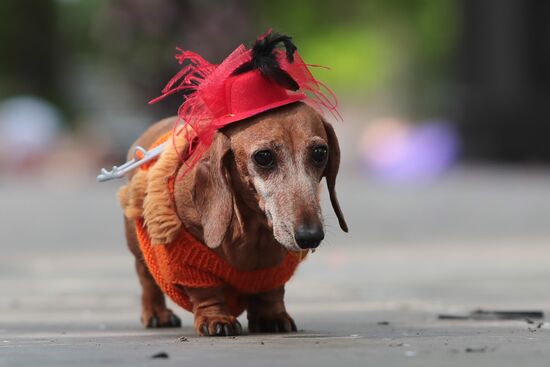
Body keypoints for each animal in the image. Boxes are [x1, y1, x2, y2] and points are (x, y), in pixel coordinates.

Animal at [120, 101, 348, 336]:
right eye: (263, 156)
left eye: (320, 152)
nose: (310, 236)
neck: (253, 232)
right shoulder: (189, 259)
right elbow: (206, 292)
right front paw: (215, 318)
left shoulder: (275, 268)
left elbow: (271, 292)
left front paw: (272, 316)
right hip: (140, 246)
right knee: (147, 278)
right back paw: (157, 313)